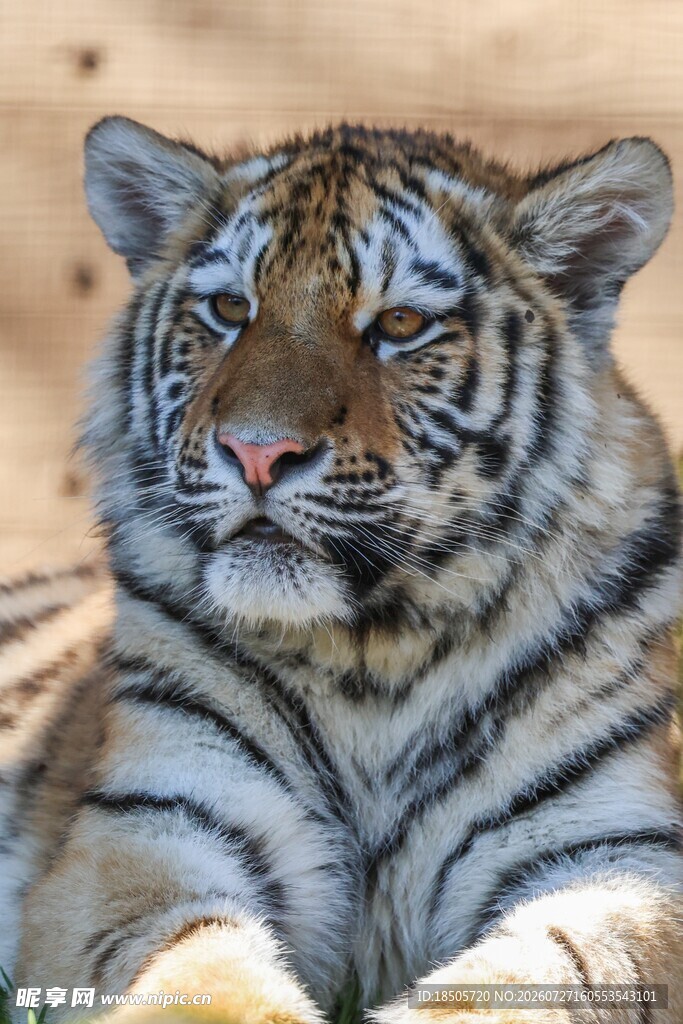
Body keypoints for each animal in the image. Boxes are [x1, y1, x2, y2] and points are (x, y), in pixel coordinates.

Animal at [0, 116, 681, 1024]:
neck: (375, 655)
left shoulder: (611, 852)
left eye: (398, 323)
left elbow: (538, 977)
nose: (256, 452)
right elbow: (200, 976)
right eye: (229, 309)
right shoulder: (156, 829)